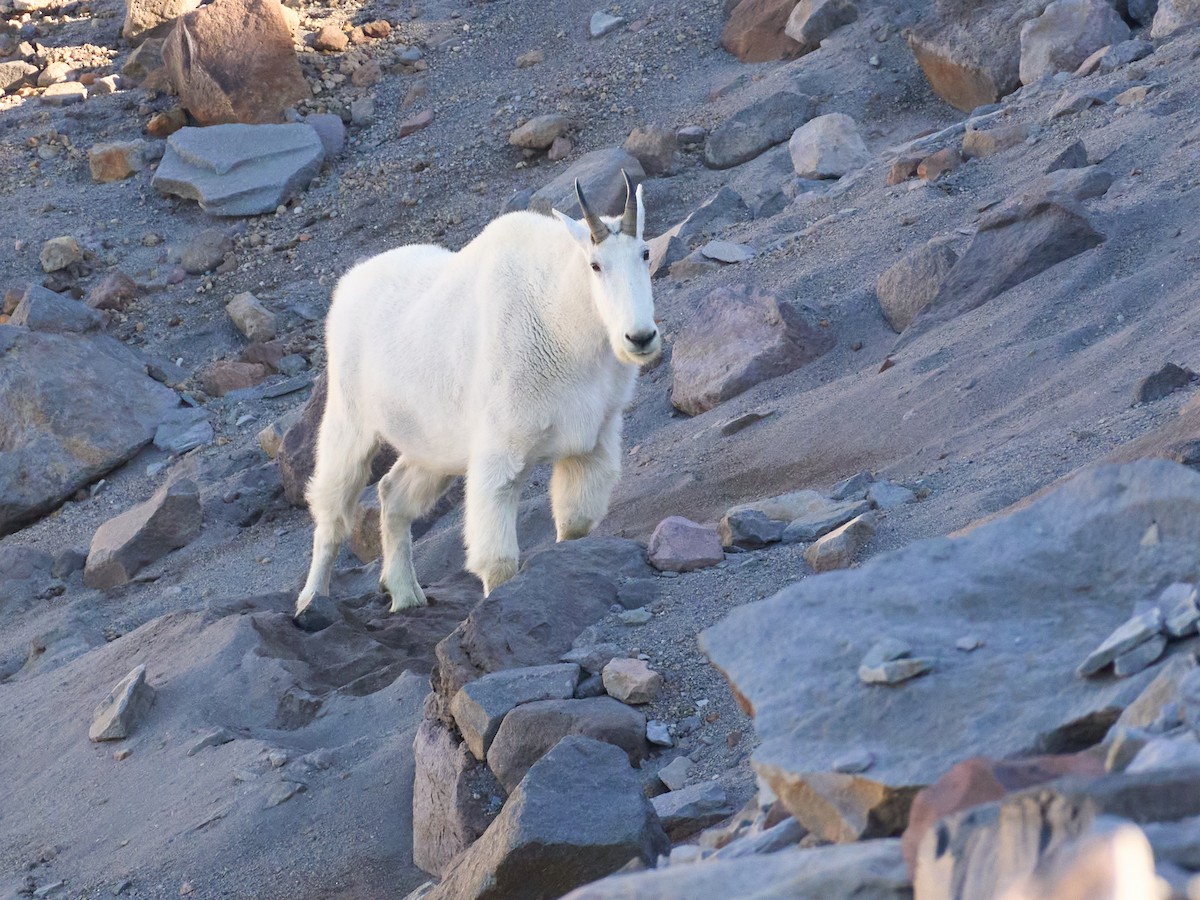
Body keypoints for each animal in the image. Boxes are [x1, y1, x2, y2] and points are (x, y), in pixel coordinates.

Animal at [297, 173, 660, 615]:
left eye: (645, 253)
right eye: (595, 264)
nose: (639, 337)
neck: (565, 318)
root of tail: (348, 283)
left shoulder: (593, 439)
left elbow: (575, 524)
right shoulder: (499, 447)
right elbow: (497, 558)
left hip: (434, 440)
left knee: (393, 492)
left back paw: (404, 594)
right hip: (349, 416)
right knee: (332, 509)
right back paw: (311, 598)